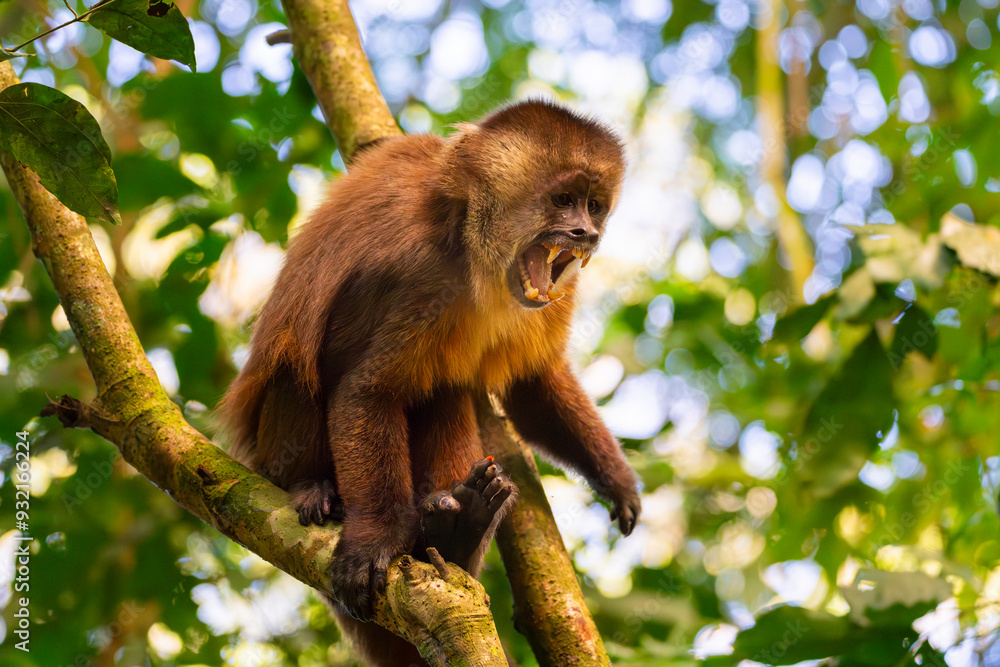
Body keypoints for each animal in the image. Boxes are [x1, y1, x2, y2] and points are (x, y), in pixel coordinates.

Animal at [218, 99, 641, 666]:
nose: (585, 234)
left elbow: (531, 384)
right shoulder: (414, 273)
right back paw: (311, 488)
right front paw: (374, 541)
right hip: (268, 451)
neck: (470, 244)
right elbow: (361, 388)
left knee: (446, 391)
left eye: (594, 207)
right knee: (299, 366)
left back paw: (459, 529)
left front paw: (616, 478)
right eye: (562, 201)